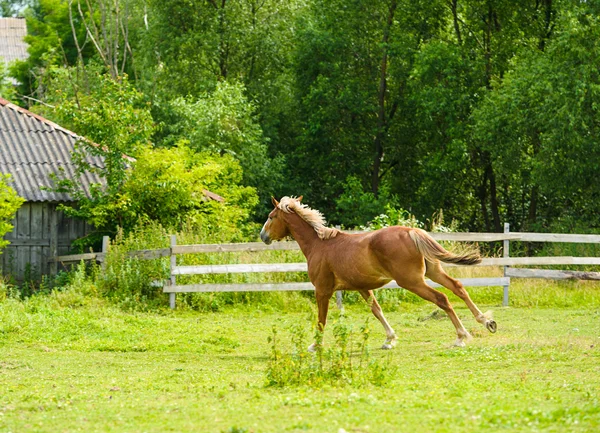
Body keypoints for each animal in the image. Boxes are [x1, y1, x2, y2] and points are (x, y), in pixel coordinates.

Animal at [260, 196, 500, 352]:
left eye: (271, 216)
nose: (263, 236)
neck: (318, 245)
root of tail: (412, 231)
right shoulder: (362, 287)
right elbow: (376, 310)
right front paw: (389, 340)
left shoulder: (322, 290)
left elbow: (321, 319)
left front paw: (315, 345)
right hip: (433, 272)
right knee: (458, 287)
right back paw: (487, 321)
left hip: (412, 281)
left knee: (442, 298)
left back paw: (461, 337)